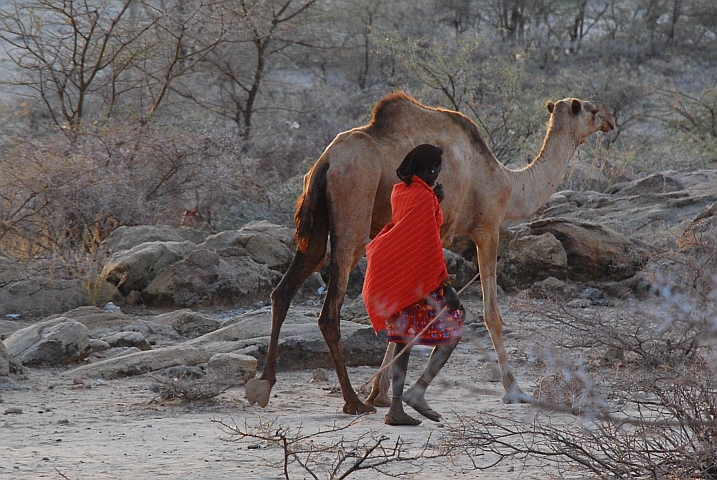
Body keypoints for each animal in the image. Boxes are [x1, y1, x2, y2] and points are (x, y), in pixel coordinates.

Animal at [245, 92, 614, 415]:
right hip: (354, 204)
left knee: (286, 287)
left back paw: (264, 384)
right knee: (329, 309)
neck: (509, 183)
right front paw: (514, 390)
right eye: (591, 109)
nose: (611, 119)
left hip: (316, 220)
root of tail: (326, 161)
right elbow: (491, 314)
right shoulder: (487, 227)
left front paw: (380, 391)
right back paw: (353, 401)